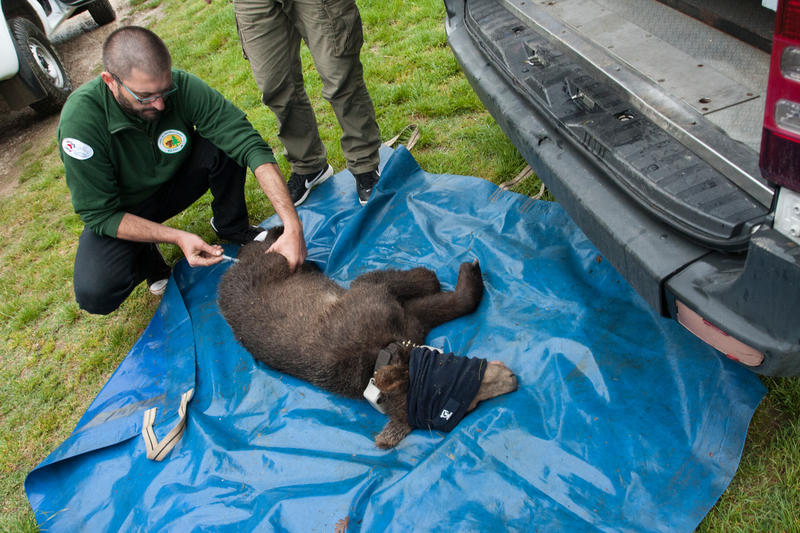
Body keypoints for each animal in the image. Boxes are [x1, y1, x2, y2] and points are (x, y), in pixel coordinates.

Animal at [219, 227, 520, 446]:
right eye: (461, 400)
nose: (513, 379)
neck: (382, 353)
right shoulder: (370, 291)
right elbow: (418, 281)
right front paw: (440, 274)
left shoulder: (410, 318)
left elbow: (457, 303)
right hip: (271, 264)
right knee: (271, 249)